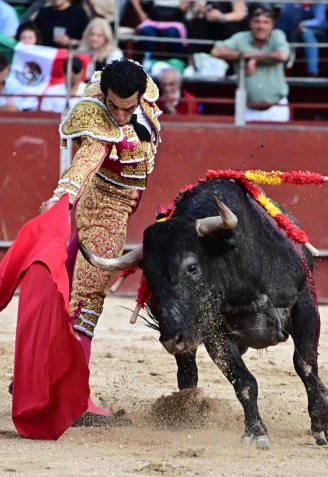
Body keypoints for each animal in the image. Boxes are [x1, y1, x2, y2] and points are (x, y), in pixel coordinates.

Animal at [80, 178, 328, 446]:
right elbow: (244, 381)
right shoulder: (214, 331)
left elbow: (306, 366)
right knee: (188, 373)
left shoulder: (304, 305)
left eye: (192, 267)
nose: (171, 340)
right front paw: (255, 432)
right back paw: (187, 411)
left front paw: (321, 426)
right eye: (150, 279)